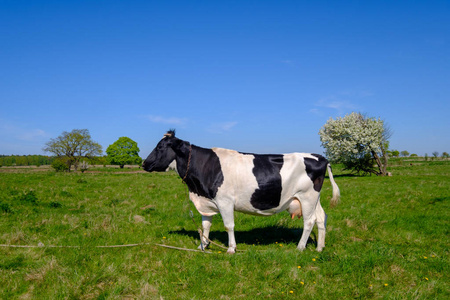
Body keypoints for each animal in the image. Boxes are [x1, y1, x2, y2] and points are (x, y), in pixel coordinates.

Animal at [142, 130, 340, 254]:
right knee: (321, 218)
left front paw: (231, 249)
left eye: (160, 147)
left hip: (307, 197)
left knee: (309, 221)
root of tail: (319, 156)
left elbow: (229, 225)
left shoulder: (225, 201)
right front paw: (203, 246)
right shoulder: (207, 201)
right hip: (314, 199)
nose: (144, 163)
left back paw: (300, 247)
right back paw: (319, 248)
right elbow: (205, 225)